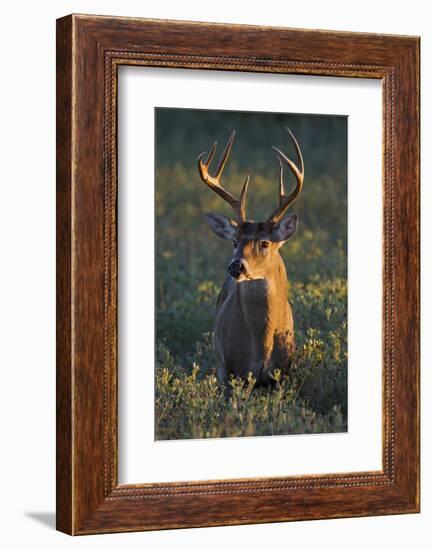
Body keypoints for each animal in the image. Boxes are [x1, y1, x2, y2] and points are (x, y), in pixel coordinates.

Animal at [198, 129, 304, 388]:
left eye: (264, 243)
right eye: (234, 242)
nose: (236, 266)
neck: (261, 345)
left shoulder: (283, 373)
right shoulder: (228, 369)